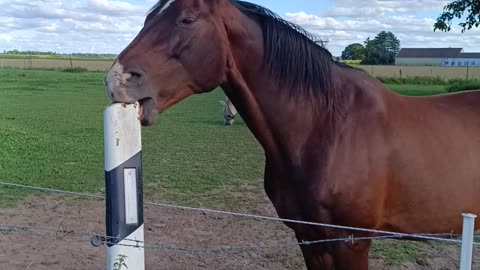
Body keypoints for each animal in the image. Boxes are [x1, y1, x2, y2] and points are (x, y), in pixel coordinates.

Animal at [104, 1, 480, 268]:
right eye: (147, 18)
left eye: (187, 20)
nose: (116, 79)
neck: (327, 129)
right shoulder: (310, 239)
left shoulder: (352, 243)